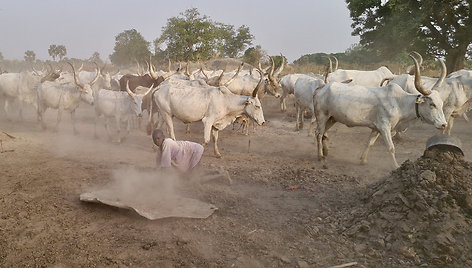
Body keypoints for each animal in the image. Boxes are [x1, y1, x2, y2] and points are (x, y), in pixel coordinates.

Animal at [316, 55, 448, 168]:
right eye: (432, 104)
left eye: (441, 104)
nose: (443, 125)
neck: (399, 102)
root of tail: (322, 87)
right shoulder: (385, 127)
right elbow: (391, 147)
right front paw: (396, 166)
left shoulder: (376, 128)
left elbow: (370, 143)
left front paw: (363, 160)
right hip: (322, 116)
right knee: (319, 133)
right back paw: (320, 157)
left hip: (332, 118)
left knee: (324, 134)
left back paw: (326, 152)